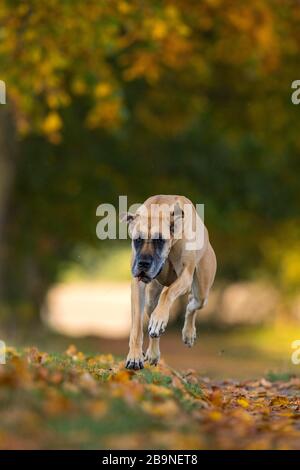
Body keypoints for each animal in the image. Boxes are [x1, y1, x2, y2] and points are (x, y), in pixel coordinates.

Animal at [120, 195, 217, 370]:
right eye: (138, 239)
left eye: (160, 240)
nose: (143, 264)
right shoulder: (137, 285)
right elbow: (137, 325)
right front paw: (135, 356)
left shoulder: (185, 276)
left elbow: (167, 293)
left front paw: (160, 318)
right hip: (151, 298)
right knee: (154, 319)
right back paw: (153, 353)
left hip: (202, 289)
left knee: (192, 304)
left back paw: (188, 333)